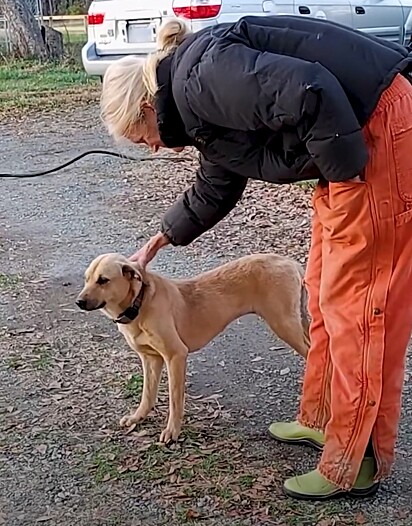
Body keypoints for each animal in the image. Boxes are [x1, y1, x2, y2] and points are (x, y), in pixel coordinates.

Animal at [77, 254, 308, 444]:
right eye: (86, 279)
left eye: (103, 280)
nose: (79, 302)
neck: (139, 303)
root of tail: (290, 262)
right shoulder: (151, 359)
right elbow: (147, 395)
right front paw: (138, 417)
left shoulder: (176, 356)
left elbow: (175, 400)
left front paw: (173, 431)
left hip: (285, 325)